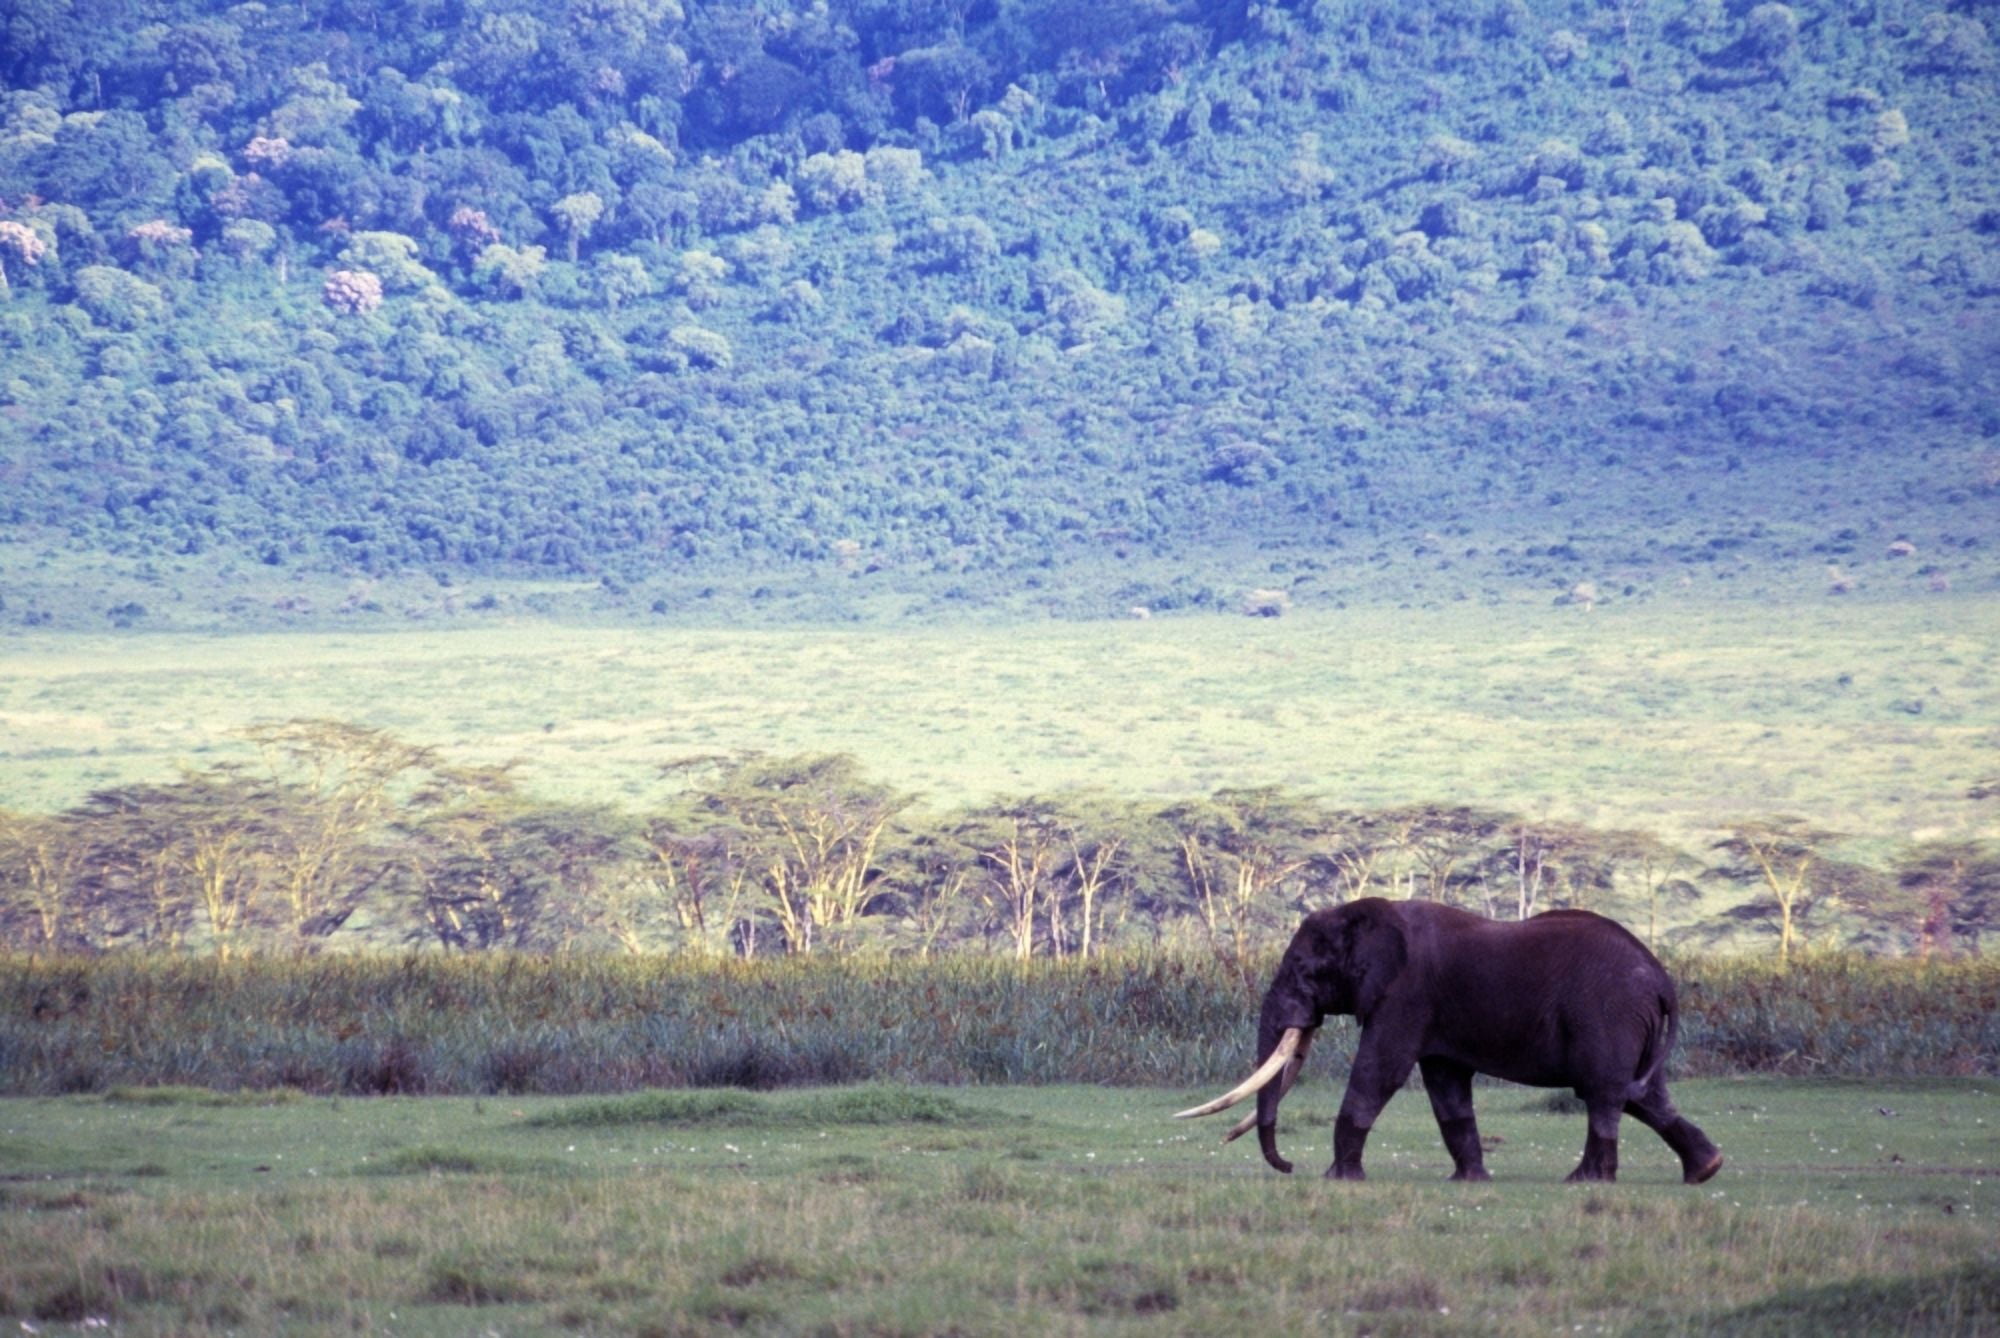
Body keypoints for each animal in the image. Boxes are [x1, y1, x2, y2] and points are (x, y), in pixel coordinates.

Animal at [1177, 898, 1724, 1184]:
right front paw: (1470, 1183)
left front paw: (1340, 1180)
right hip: (1632, 1024)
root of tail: (1662, 979)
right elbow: (1446, 1088)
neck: (1366, 915)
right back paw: (1704, 1171)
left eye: (1303, 970)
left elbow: (1380, 1072)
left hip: (1608, 1015)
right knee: (1642, 1096)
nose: (1289, 1167)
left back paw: (1585, 1181)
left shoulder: (1406, 994)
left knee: (1603, 1094)